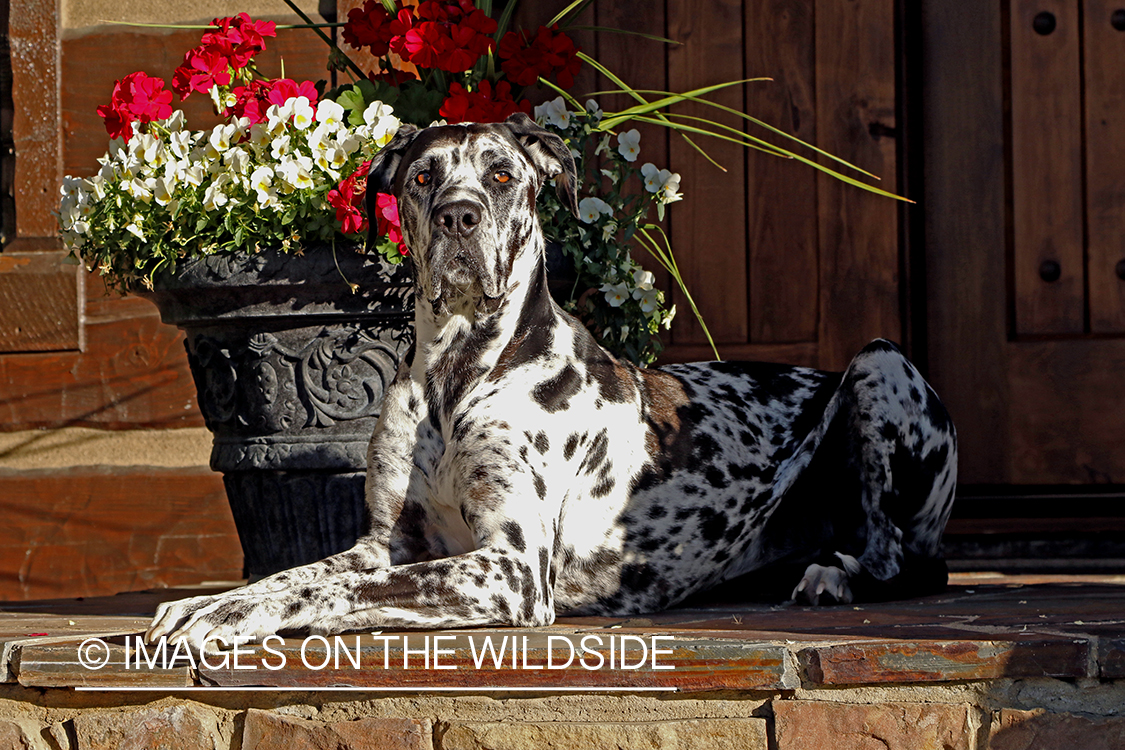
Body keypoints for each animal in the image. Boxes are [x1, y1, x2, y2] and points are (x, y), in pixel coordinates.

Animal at [147, 113, 958, 652]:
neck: (456, 375)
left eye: (502, 174)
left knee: (905, 560)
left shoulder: (508, 569)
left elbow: (340, 587)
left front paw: (233, 617)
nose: (459, 217)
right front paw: (216, 602)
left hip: (879, 362)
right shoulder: (385, 542)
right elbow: (298, 573)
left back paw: (836, 578)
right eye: (423, 177)